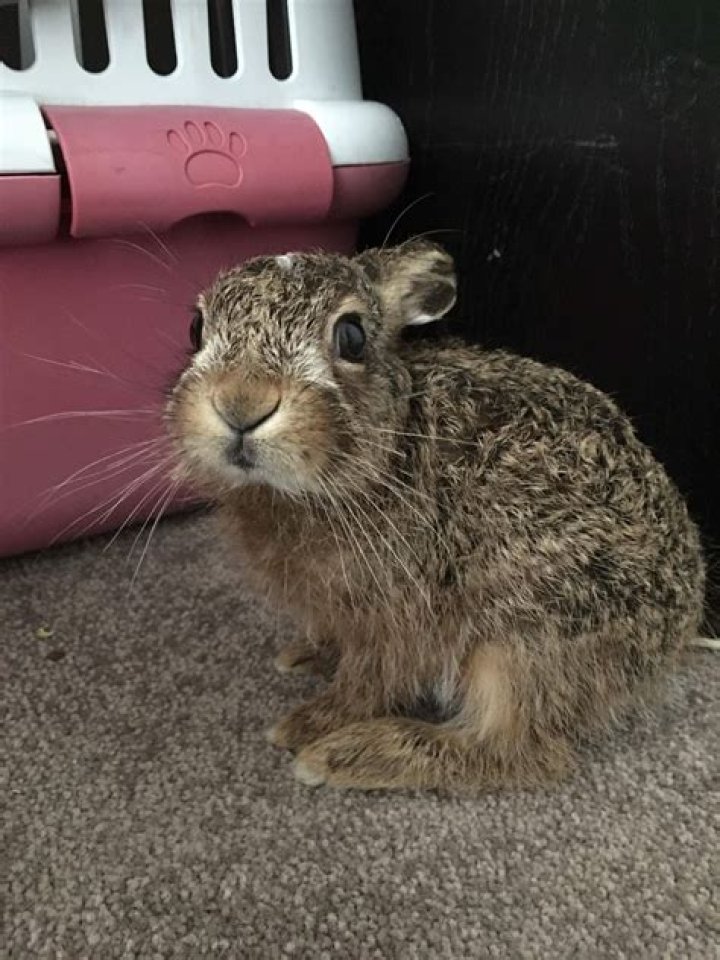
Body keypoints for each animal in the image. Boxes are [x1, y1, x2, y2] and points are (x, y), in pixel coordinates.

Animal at [166, 240, 705, 792]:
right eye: (196, 328)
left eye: (352, 336)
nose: (242, 403)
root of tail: (675, 634)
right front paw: (310, 656)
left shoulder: (397, 618)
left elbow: (369, 683)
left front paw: (310, 724)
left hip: (523, 635)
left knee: (518, 751)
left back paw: (356, 754)